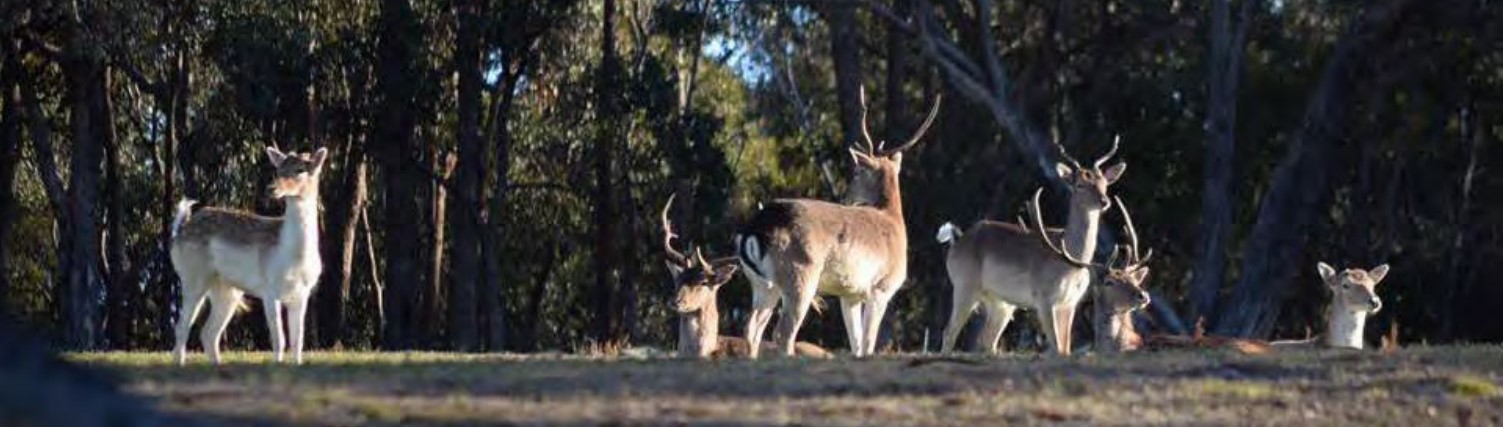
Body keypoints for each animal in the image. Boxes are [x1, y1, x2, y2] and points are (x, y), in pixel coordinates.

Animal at [170, 145, 329, 363]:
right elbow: (279, 340)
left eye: (301, 169)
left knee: (209, 333)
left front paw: (296, 364)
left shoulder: (302, 294)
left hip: (226, 290)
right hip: (193, 277)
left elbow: (298, 342)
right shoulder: (269, 290)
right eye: (278, 170)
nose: (272, 188)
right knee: (182, 327)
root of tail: (179, 231)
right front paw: (277, 364)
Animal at [730, 87, 931, 356]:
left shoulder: (850, 295)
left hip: (762, 284)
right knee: (783, 332)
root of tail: (755, 229)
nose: (847, 197)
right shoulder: (881, 288)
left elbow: (856, 344)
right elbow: (868, 344)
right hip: (800, 275)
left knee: (752, 329)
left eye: (856, 173)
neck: (893, 221)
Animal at [931, 138, 1130, 354]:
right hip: (964, 288)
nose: (1104, 201)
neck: (1071, 259)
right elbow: (1056, 347)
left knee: (988, 341)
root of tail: (957, 242)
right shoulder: (1044, 300)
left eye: (1104, 183)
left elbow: (1066, 348)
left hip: (1000, 303)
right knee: (949, 333)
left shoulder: (1069, 304)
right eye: (1080, 184)